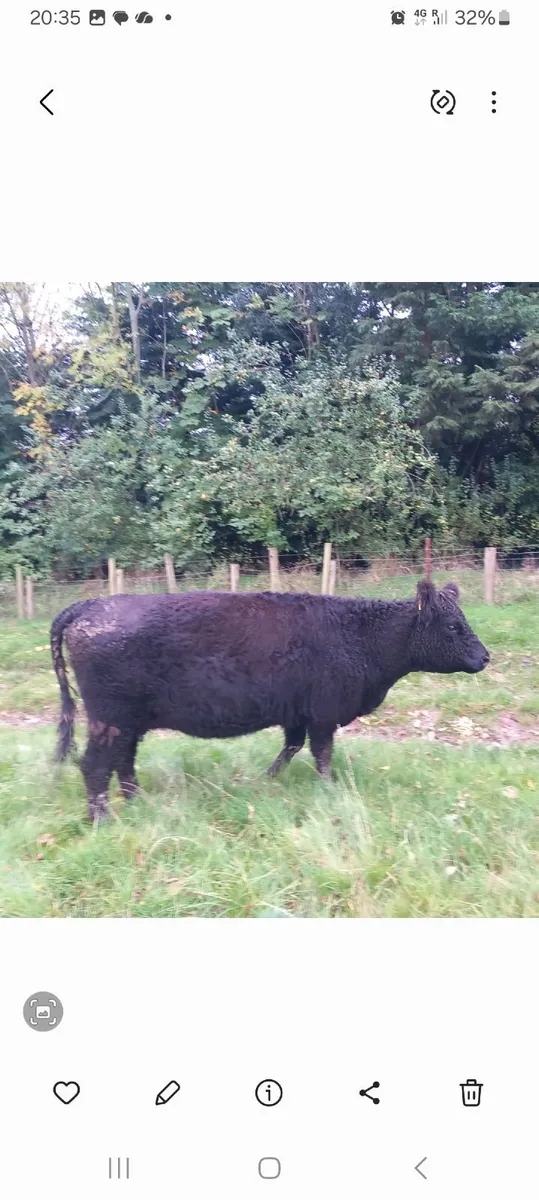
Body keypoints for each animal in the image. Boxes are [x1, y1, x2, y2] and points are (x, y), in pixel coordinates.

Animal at [50, 580, 489, 822]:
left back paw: (137, 802)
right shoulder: (323, 714)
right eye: (454, 626)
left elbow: (291, 748)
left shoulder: (297, 714)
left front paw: (268, 780)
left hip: (128, 722)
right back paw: (103, 820)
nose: (485, 657)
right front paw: (328, 790)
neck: (360, 635)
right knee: (95, 765)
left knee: (123, 762)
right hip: (109, 718)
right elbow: (322, 755)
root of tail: (91, 604)